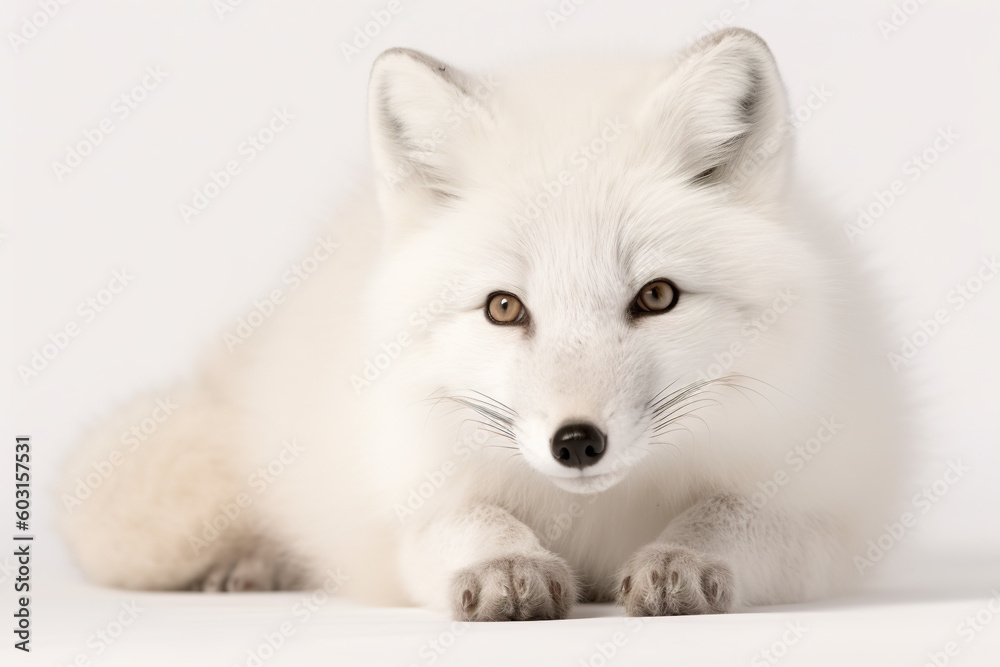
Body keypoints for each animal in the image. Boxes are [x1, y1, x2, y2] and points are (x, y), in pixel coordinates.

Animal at [60, 28, 903, 620]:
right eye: (505, 307)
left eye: (657, 297)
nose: (576, 442)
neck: (590, 518)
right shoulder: (403, 500)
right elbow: (461, 520)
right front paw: (505, 565)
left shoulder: (829, 513)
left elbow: (732, 514)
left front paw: (680, 558)